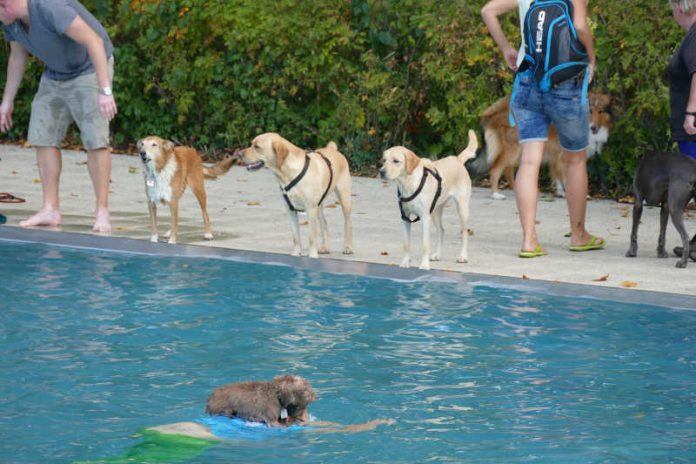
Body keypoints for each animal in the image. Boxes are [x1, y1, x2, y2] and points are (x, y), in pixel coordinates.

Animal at [380, 130, 478, 268]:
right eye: (384, 160)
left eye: (396, 161)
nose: (381, 172)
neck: (408, 184)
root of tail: (457, 159)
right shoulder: (405, 218)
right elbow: (406, 245)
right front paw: (405, 263)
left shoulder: (425, 218)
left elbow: (425, 245)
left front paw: (424, 265)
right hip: (436, 211)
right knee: (441, 231)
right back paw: (437, 254)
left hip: (462, 209)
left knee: (464, 233)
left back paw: (463, 256)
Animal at [482, 92, 612, 198]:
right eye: (590, 110)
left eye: (601, 111)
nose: (593, 128)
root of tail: (494, 114)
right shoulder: (562, 156)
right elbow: (565, 177)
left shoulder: (556, 156)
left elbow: (557, 175)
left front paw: (561, 192)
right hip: (513, 149)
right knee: (496, 170)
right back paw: (495, 194)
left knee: (508, 169)